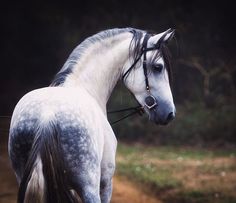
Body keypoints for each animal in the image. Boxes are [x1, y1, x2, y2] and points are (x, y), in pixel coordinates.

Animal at [7, 27, 175, 203]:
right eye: (158, 67)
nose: (169, 113)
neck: (85, 87)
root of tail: (47, 117)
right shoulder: (105, 182)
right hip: (90, 187)